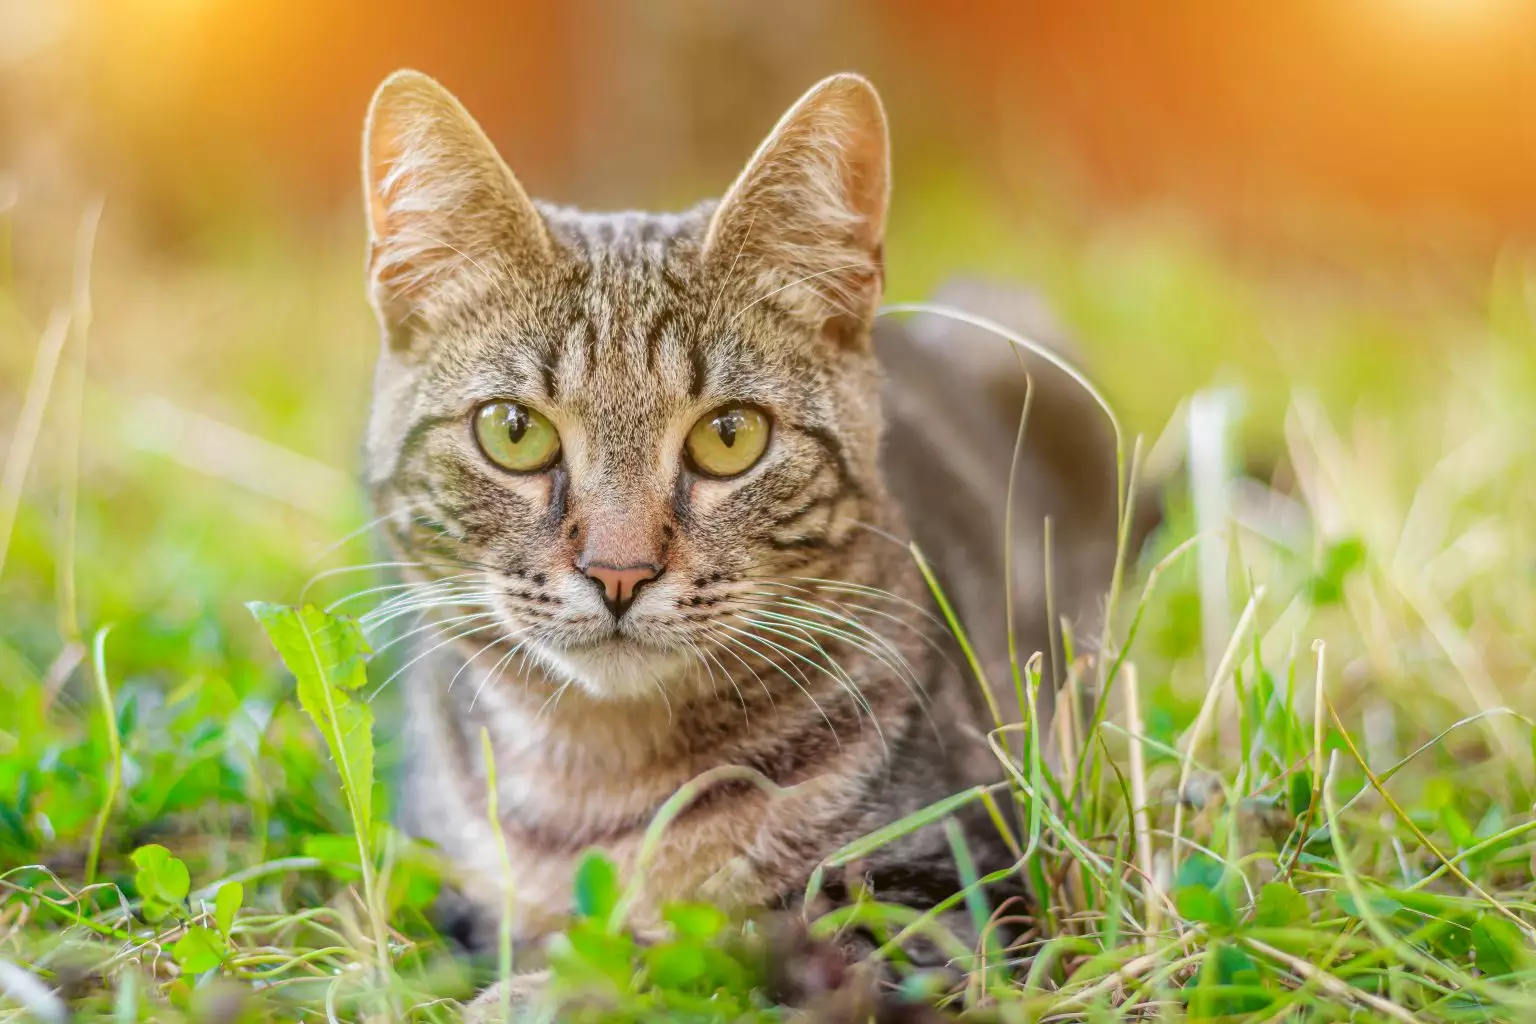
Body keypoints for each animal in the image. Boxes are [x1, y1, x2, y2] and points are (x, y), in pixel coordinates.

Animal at [360, 70, 1130, 1000]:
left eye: (730, 437)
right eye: (514, 431)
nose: (619, 572)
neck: (599, 782)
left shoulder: (950, 901)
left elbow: (708, 959)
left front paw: (535, 993)